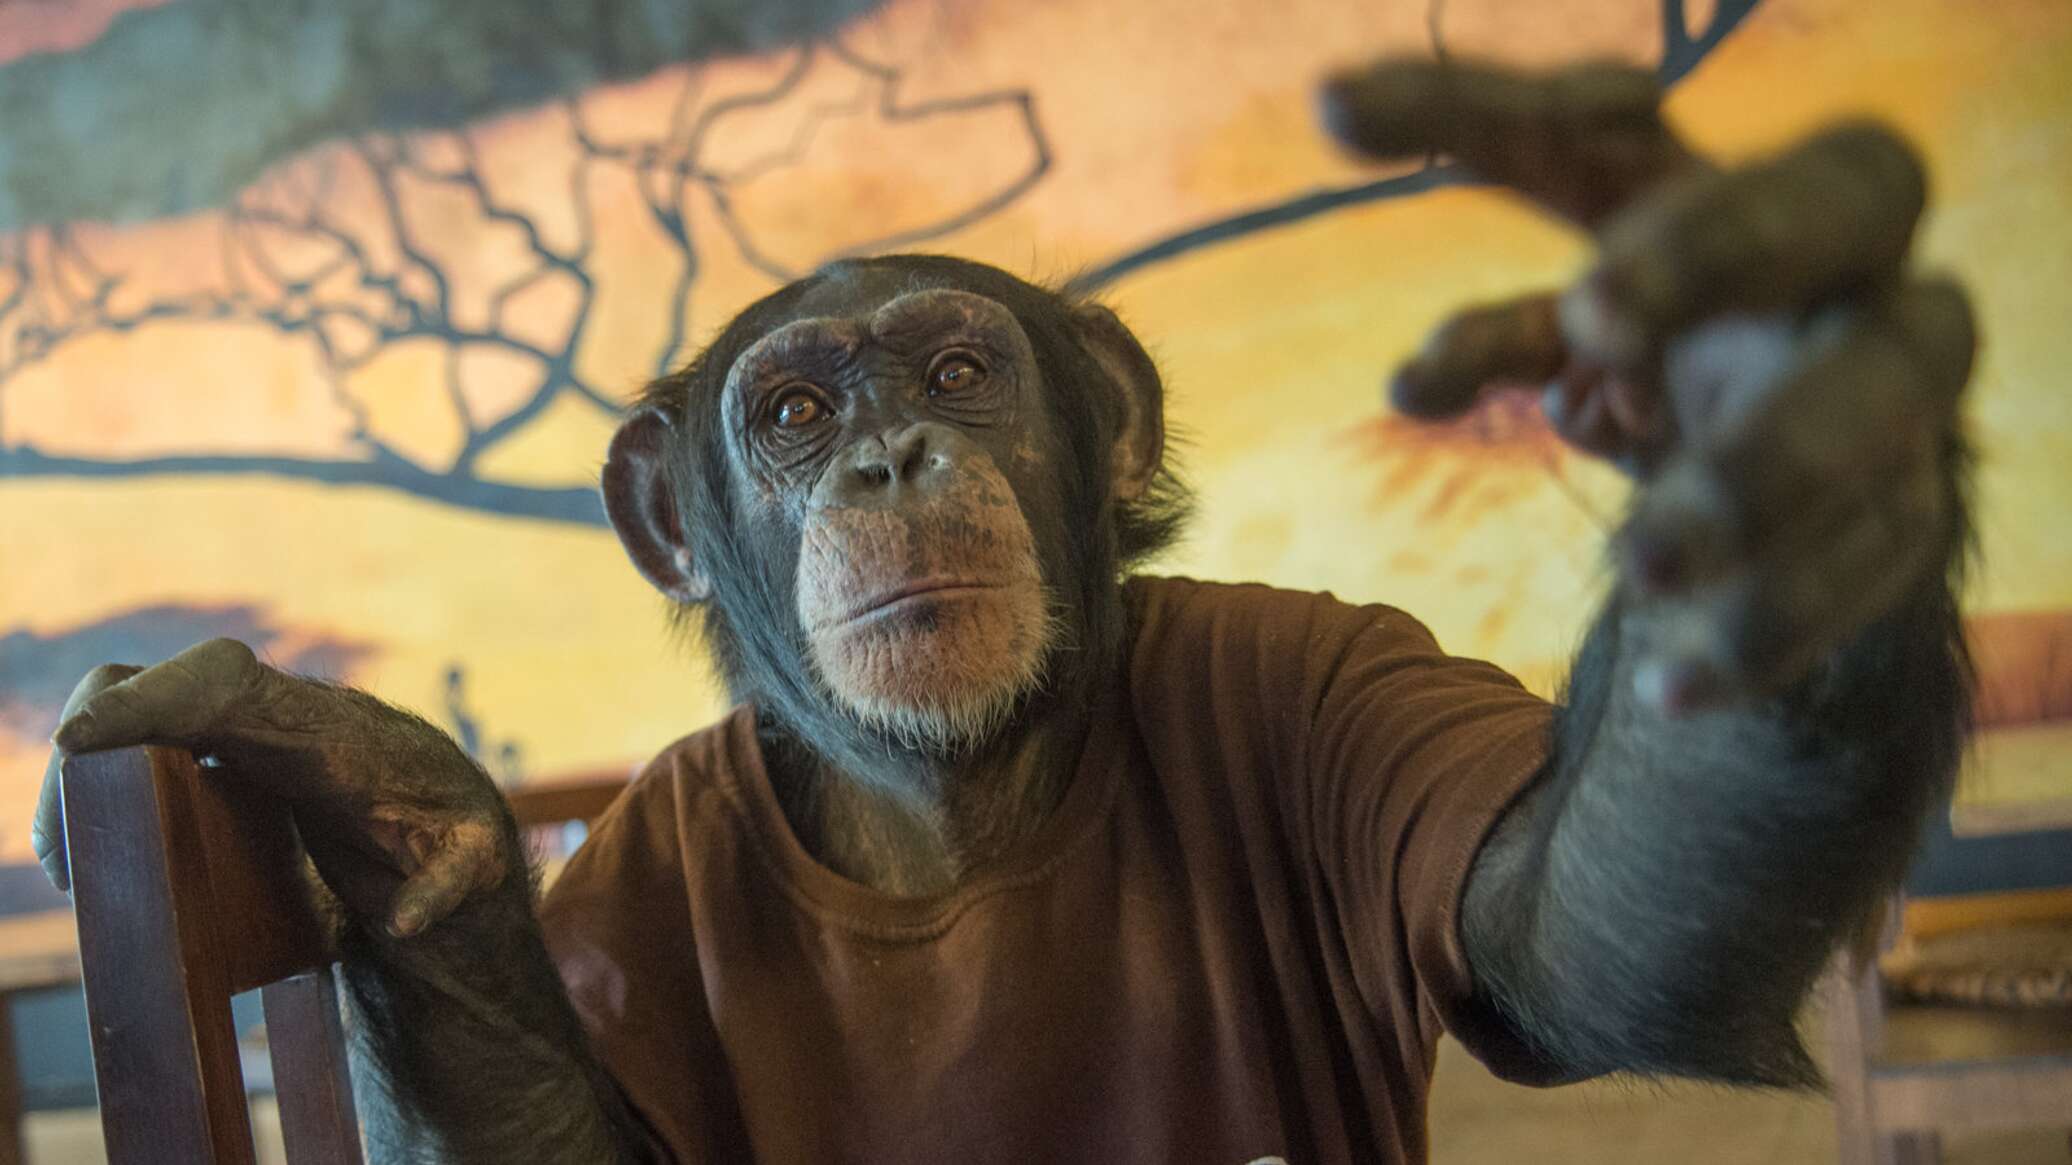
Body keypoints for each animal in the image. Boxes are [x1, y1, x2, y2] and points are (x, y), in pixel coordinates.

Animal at [36, 56, 1972, 1160]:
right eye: (792, 412)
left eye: (957, 372)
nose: (889, 454)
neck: (949, 810)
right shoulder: (623, 884)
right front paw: (391, 815)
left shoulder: (1338, 674)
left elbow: (1587, 933)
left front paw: (1787, 401)